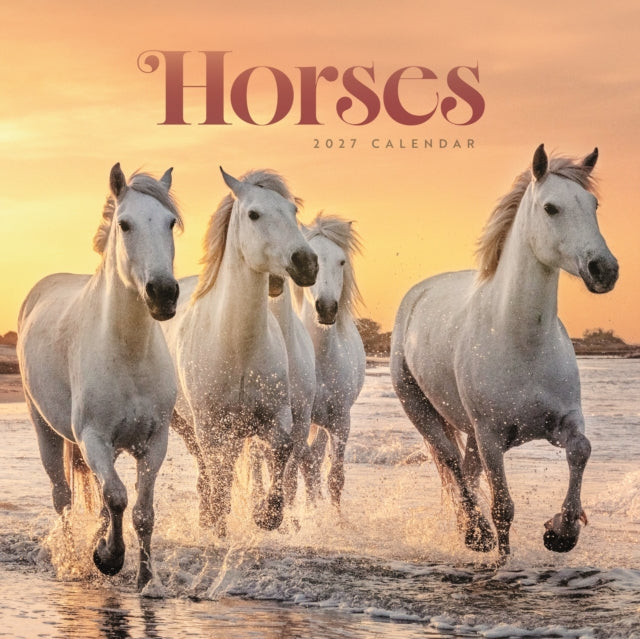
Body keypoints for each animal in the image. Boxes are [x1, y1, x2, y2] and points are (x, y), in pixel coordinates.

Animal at [17, 164, 182, 589]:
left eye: (170, 223)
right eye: (125, 224)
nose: (163, 293)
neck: (128, 354)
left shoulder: (154, 442)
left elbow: (141, 511)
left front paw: (145, 580)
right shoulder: (93, 437)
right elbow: (118, 498)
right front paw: (108, 558)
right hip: (45, 429)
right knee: (63, 497)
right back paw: (74, 559)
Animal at [162, 168, 318, 537]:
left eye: (293, 211)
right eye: (254, 214)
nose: (306, 263)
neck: (239, 348)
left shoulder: (277, 417)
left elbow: (282, 451)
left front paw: (267, 516)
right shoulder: (210, 426)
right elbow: (219, 475)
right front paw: (219, 523)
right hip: (186, 424)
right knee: (207, 470)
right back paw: (208, 519)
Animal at [390, 145, 618, 558]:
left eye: (593, 204)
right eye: (551, 208)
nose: (604, 269)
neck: (521, 342)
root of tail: (417, 294)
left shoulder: (562, 421)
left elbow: (581, 450)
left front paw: (561, 532)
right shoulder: (492, 437)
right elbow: (503, 508)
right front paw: (503, 556)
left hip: (470, 433)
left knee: (466, 470)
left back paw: (469, 529)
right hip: (421, 409)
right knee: (451, 461)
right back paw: (475, 533)